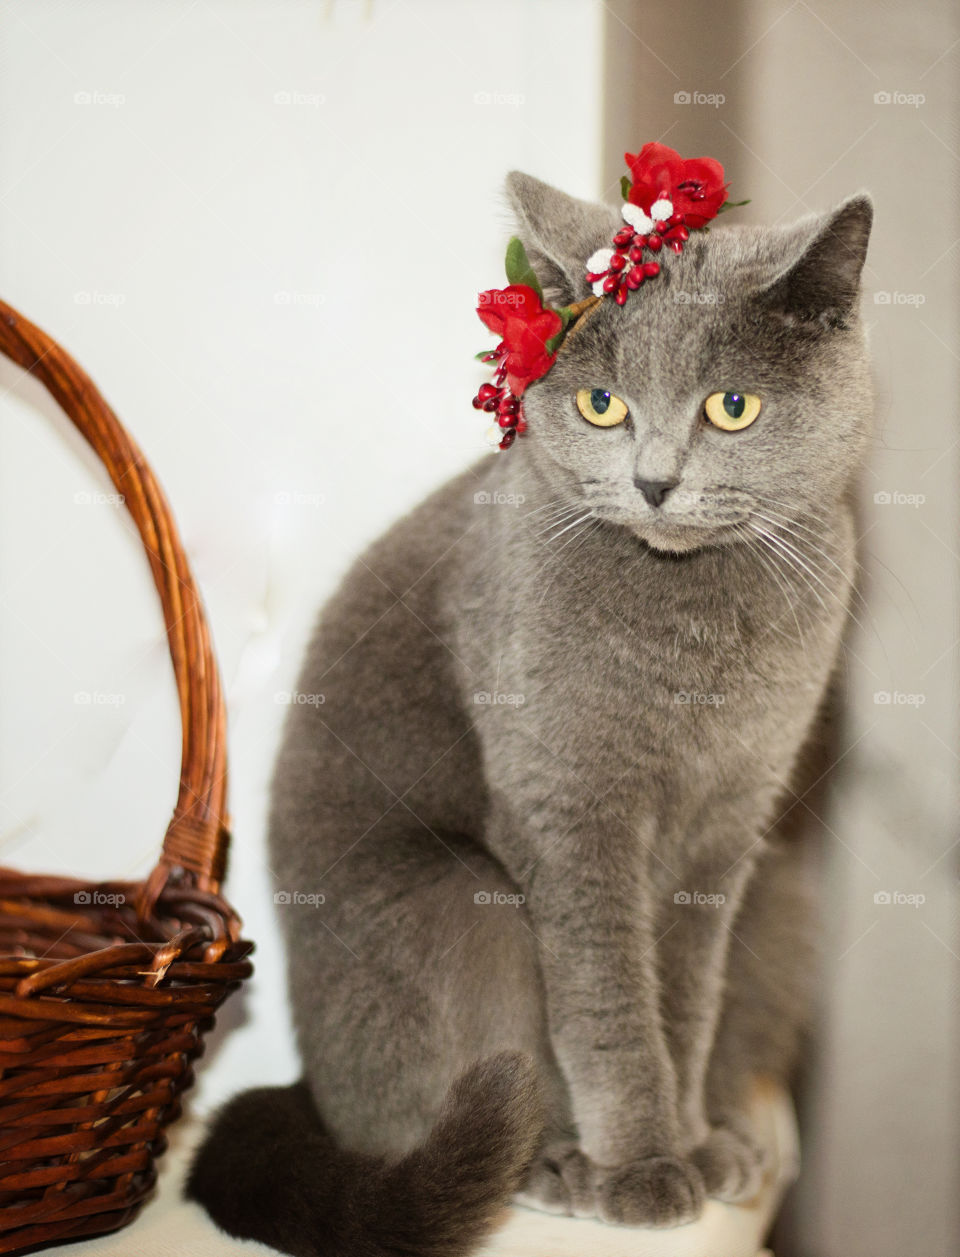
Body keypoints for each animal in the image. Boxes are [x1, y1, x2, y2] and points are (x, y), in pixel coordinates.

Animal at [185, 169, 869, 1257]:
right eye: (602, 404)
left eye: (731, 407)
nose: (654, 481)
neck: (692, 636)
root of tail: (309, 1090)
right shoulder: (568, 809)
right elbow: (609, 1005)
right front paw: (642, 1168)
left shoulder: (730, 825)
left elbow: (684, 998)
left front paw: (689, 1141)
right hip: (462, 903)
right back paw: (550, 1165)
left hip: (780, 901)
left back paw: (724, 1135)